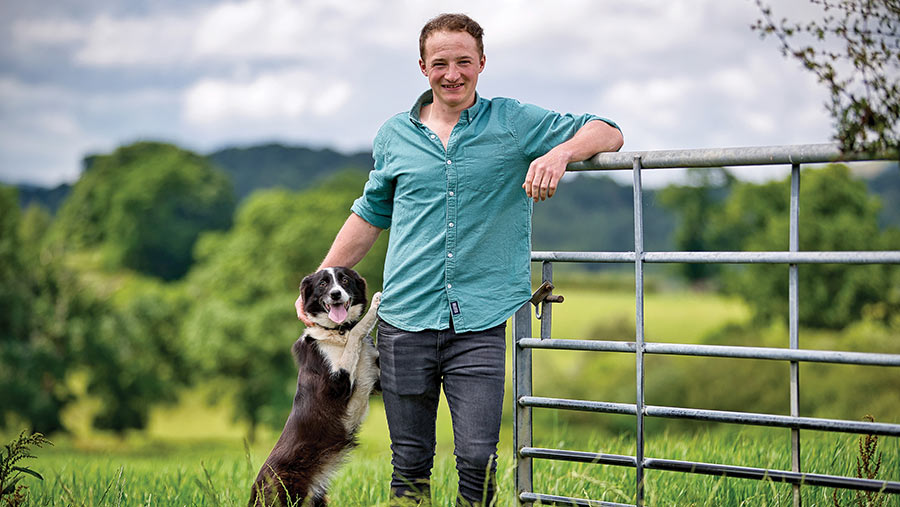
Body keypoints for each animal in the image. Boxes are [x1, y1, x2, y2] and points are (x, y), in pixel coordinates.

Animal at [248, 268, 382, 506]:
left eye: (344, 280)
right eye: (322, 284)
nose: (336, 294)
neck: (338, 331)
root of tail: (256, 491)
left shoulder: (375, 381)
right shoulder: (336, 385)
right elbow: (356, 334)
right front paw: (374, 306)